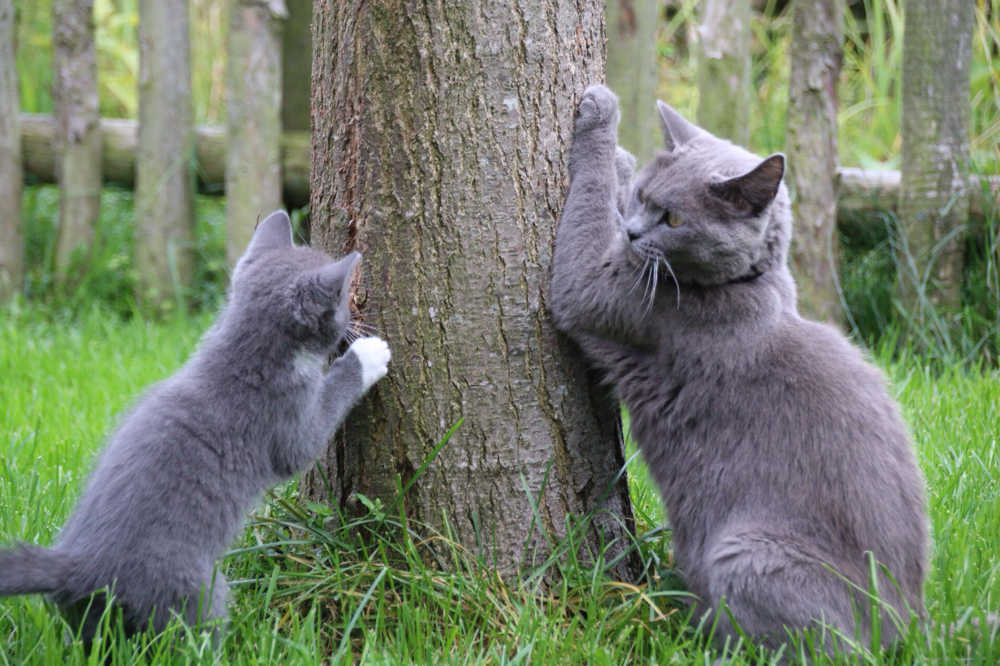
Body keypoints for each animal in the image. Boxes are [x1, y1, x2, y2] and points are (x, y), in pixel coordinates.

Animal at [0, 211, 390, 640]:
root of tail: (80, 564)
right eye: (342, 302)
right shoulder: (286, 417)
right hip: (192, 585)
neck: (244, 356)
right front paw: (367, 356)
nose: (355, 319)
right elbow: (311, 433)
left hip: (90, 613)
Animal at [552, 84, 924, 652]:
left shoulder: (598, 290)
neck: (751, 283)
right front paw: (621, 161)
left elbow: (586, 222)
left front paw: (601, 117)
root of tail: (911, 625)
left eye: (675, 220)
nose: (635, 234)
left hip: (746, 556)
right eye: (643, 196)